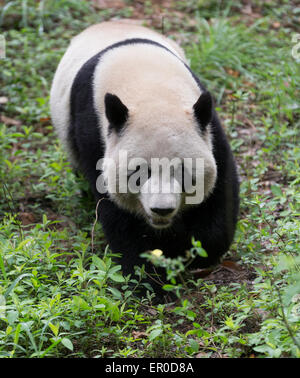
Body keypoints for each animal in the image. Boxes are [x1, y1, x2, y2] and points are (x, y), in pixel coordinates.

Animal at [51, 21, 239, 296]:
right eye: (140, 173)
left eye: (183, 172)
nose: (162, 209)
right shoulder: (94, 133)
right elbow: (119, 215)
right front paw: (150, 278)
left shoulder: (208, 127)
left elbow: (218, 195)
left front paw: (193, 252)